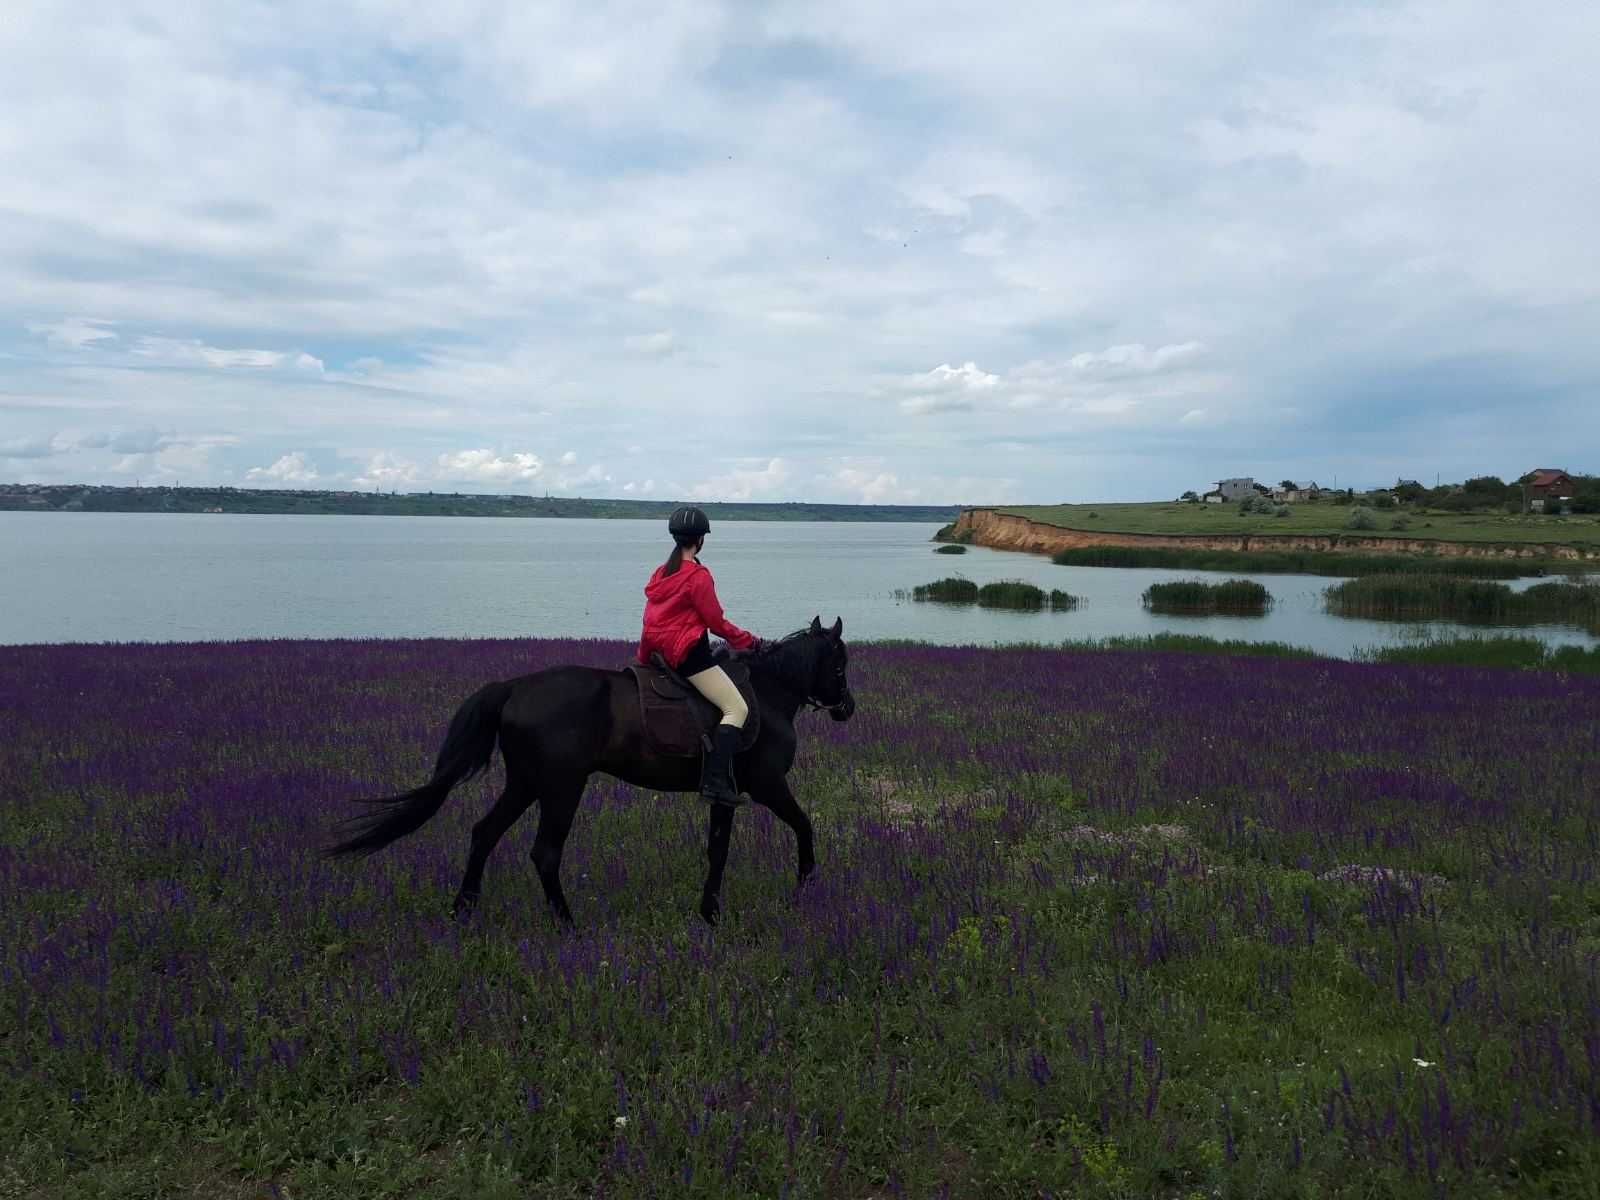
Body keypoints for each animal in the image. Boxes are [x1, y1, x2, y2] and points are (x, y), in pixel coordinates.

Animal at [318, 614, 857, 928]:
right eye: (840, 664)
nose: (848, 708)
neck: (769, 692)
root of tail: (514, 688)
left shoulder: (726, 792)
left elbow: (718, 851)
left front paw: (710, 913)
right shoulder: (767, 785)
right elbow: (804, 826)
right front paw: (804, 888)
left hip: (526, 783)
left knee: (484, 833)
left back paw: (463, 911)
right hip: (561, 786)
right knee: (544, 853)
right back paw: (567, 926)